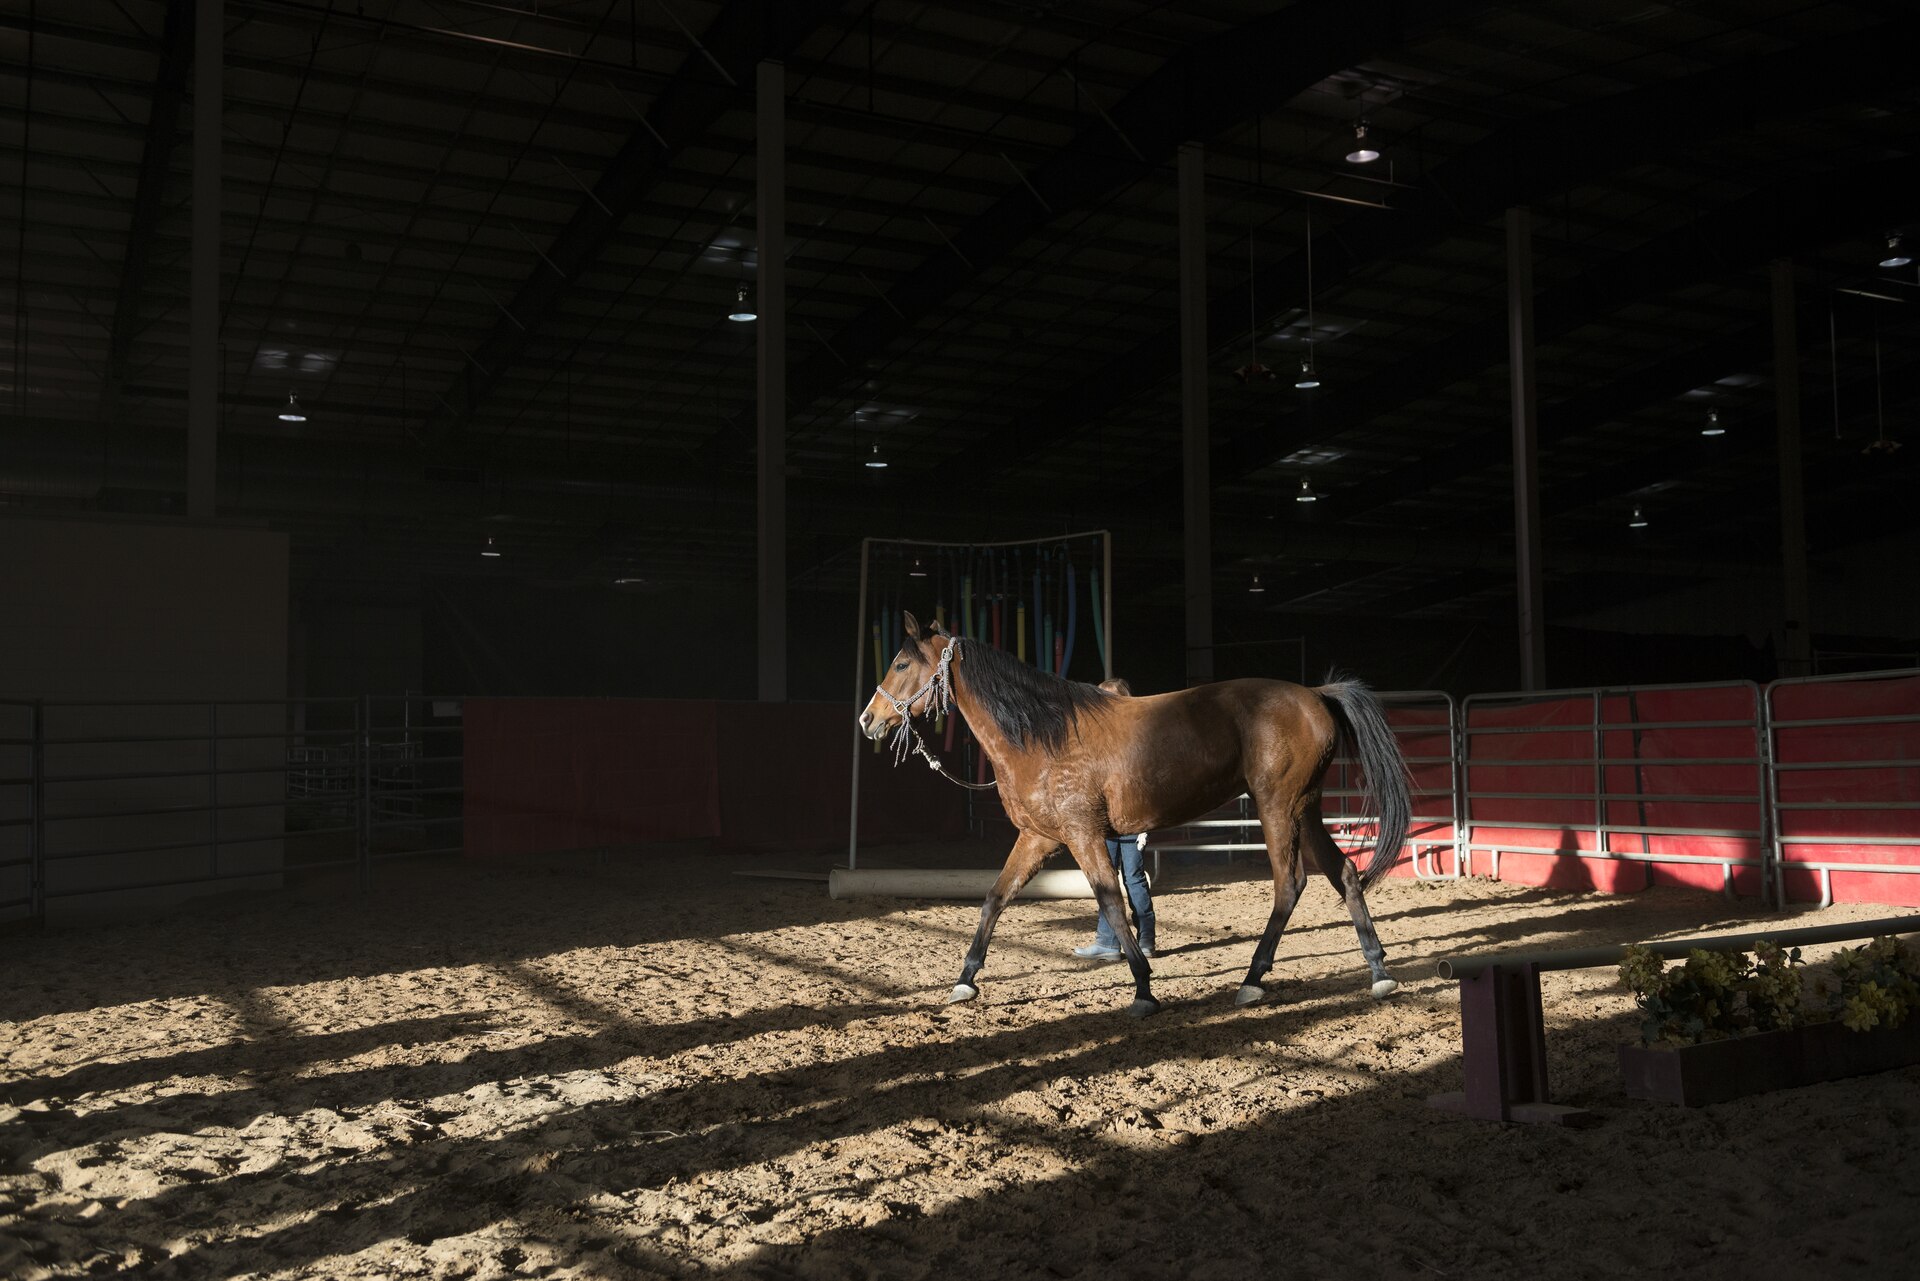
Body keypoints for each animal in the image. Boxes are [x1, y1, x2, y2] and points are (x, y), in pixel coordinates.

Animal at [857, 612, 1411, 1018]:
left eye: (901, 663)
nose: (868, 719)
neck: (1040, 735)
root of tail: (1315, 695)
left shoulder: (1083, 835)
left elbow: (1111, 901)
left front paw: (1143, 989)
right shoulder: (1038, 837)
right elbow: (995, 899)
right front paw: (965, 980)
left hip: (1279, 807)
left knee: (1289, 884)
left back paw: (1253, 979)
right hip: (1307, 810)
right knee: (1344, 872)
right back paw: (1379, 972)